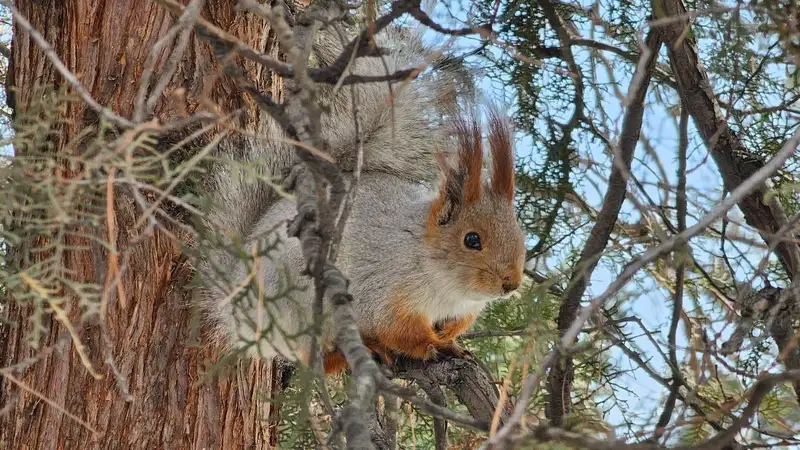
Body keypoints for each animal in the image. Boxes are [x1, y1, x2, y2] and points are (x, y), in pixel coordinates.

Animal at [197, 19, 528, 374]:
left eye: (520, 236)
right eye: (472, 240)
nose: (511, 284)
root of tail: (235, 304)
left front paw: (449, 338)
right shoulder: (384, 290)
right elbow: (397, 329)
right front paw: (433, 346)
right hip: (299, 299)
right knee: (310, 356)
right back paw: (348, 355)